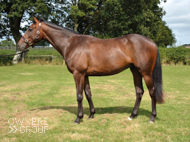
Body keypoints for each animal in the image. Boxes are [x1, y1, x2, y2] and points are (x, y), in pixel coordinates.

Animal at [17, 16, 164, 123]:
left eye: (30, 29)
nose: (19, 45)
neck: (72, 44)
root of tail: (151, 41)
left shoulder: (78, 74)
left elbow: (79, 96)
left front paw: (78, 118)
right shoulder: (85, 75)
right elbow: (88, 94)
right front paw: (91, 115)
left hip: (146, 73)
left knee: (152, 92)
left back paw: (152, 118)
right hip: (135, 71)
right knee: (139, 92)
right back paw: (132, 116)